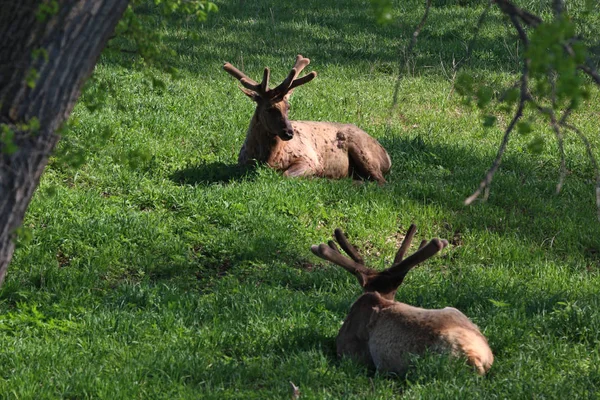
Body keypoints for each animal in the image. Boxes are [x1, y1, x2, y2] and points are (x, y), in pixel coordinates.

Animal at [223, 54, 392, 183]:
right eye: (269, 108)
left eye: (288, 107)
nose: (289, 132)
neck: (267, 158)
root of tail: (388, 158)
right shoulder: (241, 164)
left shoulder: (309, 159)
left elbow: (285, 174)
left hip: (364, 152)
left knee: (381, 182)